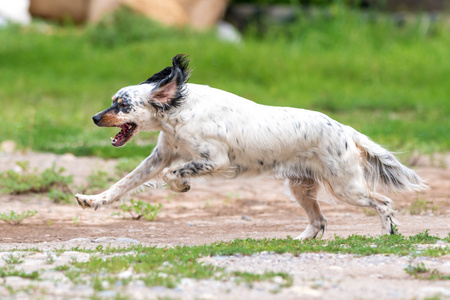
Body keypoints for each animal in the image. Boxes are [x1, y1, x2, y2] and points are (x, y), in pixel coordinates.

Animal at [75, 54, 428, 239]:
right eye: (113, 102)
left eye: (121, 106)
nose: (95, 117)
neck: (179, 110)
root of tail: (346, 129)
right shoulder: (160, 157)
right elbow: (123, 184)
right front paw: (92, 200)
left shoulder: (215, 160)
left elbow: (173, 174)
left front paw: (183, 185)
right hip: (301, 187)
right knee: (319, 222)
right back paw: (296, 242)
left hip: (346, 188)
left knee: (383, 203)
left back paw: (388, 234)